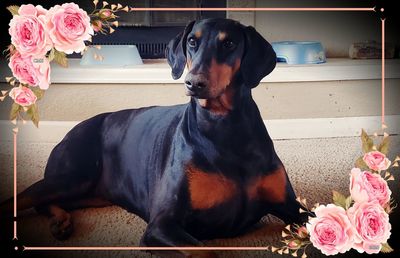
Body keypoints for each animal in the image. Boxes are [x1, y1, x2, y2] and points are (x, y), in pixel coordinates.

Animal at [0, 17, 306, 256]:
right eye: (192, 42)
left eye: (229, 44)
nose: (194, 83)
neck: (224, 127)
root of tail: (73, 129)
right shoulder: (161, 225)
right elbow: (206, 251)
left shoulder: (290, 206)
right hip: (73, 175)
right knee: (24, 197)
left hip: (90, 192)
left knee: (46, 202)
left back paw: (61, 220)